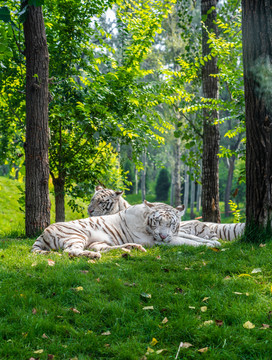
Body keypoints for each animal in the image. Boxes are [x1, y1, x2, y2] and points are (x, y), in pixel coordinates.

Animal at [31, 200, 221, 258]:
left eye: (171, 224)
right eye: (158, 222)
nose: (162, 235)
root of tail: (42, 233)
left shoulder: (170, 236)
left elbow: (190, 236)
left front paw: (214, 241)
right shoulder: (157, 242)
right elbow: (186, 241)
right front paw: (209, 245)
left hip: (96, 241)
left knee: (103, 248)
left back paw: (131, 248)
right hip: (77, 235)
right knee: (71, 251)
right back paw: (92, 256)